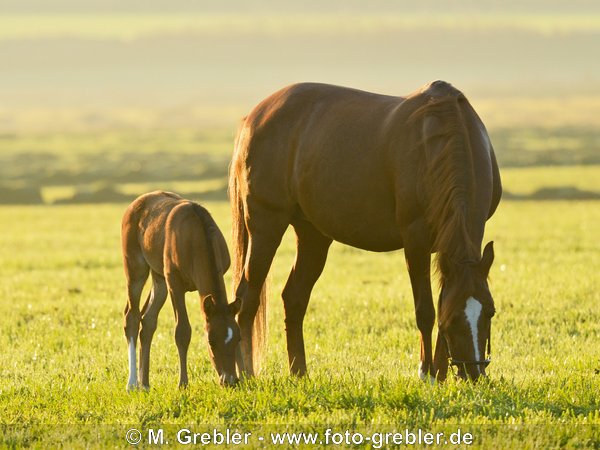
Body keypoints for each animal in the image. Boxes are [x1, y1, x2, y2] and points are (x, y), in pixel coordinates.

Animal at [120, 191, 240, 390]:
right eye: (210, 341)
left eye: (237, 339)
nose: (230, 380)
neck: (196, 237)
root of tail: (136, 203)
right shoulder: (174, 283)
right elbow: (182, 331)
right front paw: (182, 383)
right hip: (136, 268)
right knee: (132, 317)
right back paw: (132, 383)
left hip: (159, 278)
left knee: (148, 320)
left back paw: (145, 383)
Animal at [230, 80, 502, 380]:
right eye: (455, 318)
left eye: (490, 311)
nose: (473, 373)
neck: (440, 139)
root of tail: (253, 118)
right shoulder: (415, 241)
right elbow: (426, 311)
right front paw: (427, 373)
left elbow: (442, 299)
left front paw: (440, 373)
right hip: (266, 226)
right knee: (247, 298)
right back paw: (246, 373)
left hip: (312, 234)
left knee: (294, 298)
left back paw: (299, 372)